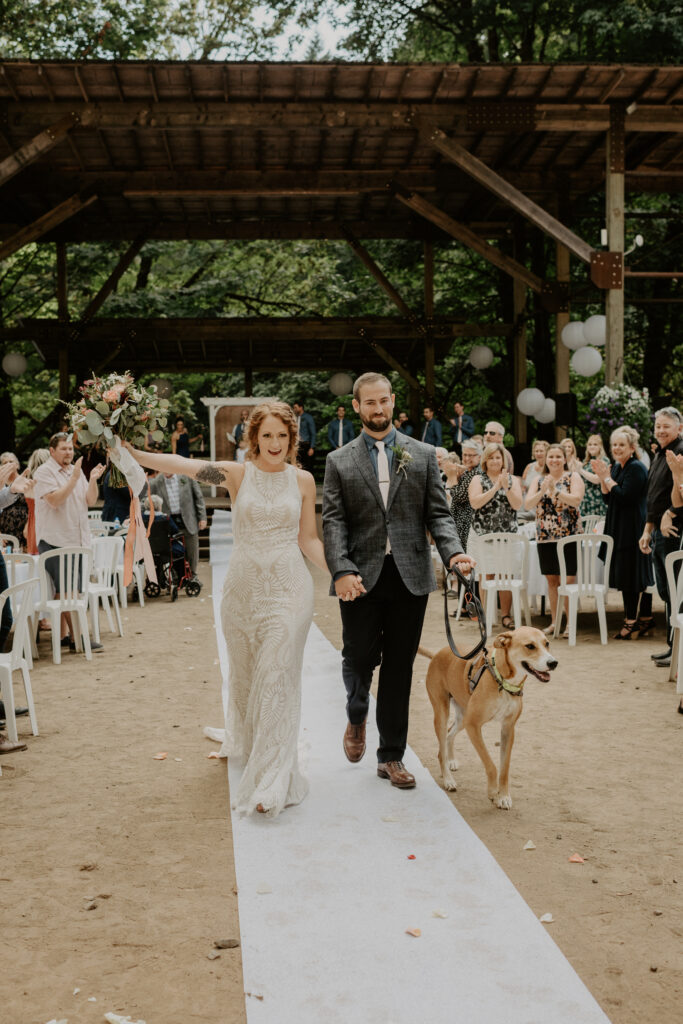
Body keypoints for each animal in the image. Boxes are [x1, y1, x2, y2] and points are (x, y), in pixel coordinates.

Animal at [423, 622, 557, 806]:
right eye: (530, 646)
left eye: (547, 643)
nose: (554, 662)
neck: (504, 681)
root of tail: (437, 653)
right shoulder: (473, 725)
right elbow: (491, 765)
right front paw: (493, 792)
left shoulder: (508, 728)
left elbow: (505, 768)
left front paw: (504, 796)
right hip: (443, 713)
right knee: (441, 747)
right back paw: (448, 779)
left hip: (462, 717)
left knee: (449, 735)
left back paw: (451, 761)